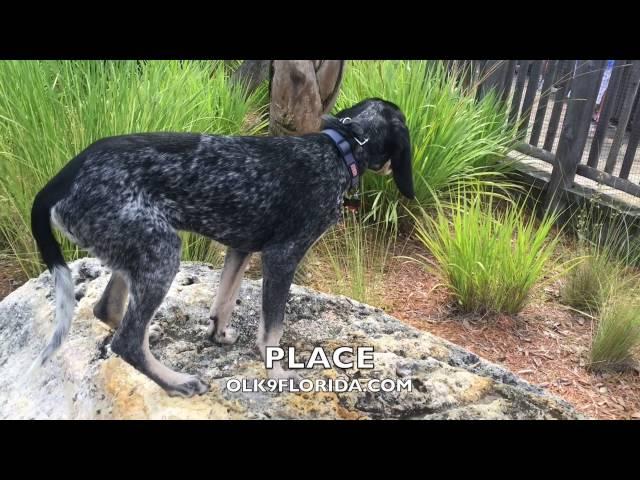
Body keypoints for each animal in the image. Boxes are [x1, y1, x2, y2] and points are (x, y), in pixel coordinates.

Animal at [30, 97, 412, 398]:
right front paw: (277, 373)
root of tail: (59, 181)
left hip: (137, 248)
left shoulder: (240, 248)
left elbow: (226, 299)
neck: (340, 146)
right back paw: (176, 381)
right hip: (161, 250)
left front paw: (218, 334)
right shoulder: (282, 256)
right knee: (126, 341)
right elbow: (272, 329)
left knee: (108, 311)